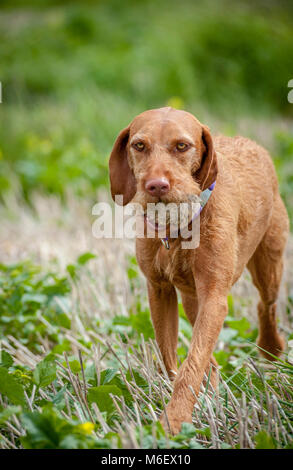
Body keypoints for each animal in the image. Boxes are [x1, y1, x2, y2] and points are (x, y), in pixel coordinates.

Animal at [108, 106, 288, 434]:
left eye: (182, 146)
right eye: (139, 145)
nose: (157, 185)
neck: (178, 225)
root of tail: (251, 143)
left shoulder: (215, 297)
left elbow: (191, 364)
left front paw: (175, 419)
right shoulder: (160, 292)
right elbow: (171, 357)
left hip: (268, 266)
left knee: (265, 305)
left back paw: (270, 348)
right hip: (192, 301)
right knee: (211, 357)